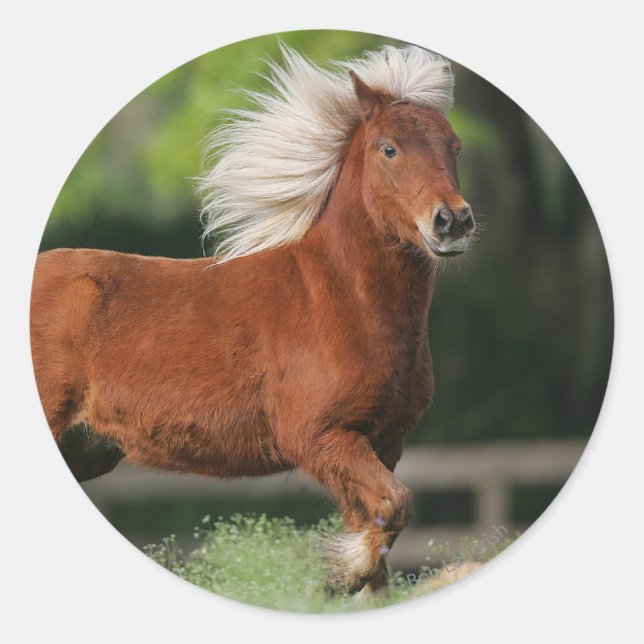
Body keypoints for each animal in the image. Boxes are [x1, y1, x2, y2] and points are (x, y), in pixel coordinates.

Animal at [30, 44, 477, 596]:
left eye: (455, 147)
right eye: (388, 149)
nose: (453, 221)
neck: (336, 300)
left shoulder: (382, 441)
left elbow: (381, 535)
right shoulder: (320, 437)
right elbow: (395, 506)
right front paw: (338, 571)